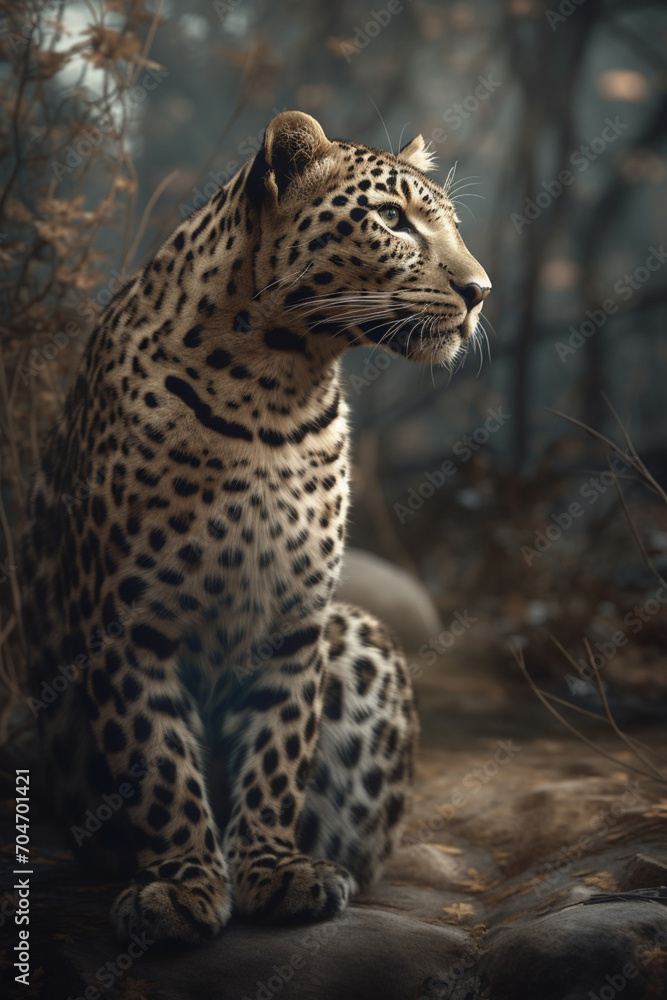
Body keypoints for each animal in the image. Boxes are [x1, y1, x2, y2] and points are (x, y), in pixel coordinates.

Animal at [21, 111, 491, 945]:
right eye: (392, 219)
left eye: (452, 225)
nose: (479, 292)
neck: (273, 390)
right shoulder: (128, 623)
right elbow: (158, 761)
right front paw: (179, 886)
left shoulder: (296, 620)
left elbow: (278, 748)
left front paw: (275, 871)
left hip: (356, 632)